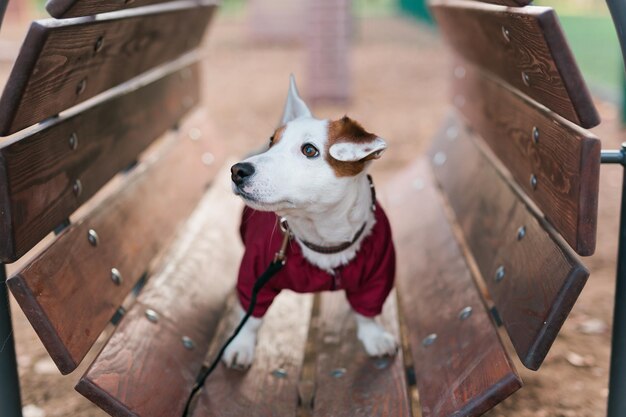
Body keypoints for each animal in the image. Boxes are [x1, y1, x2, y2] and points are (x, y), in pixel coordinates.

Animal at [227, 75, 398, 368]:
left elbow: (367, 310)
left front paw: (374, 336)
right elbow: (250, 314)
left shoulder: (378, 272)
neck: (323, 238)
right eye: (272, 141)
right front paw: (241, 343)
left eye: (309, 150)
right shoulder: (256, 271)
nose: (238, 170)